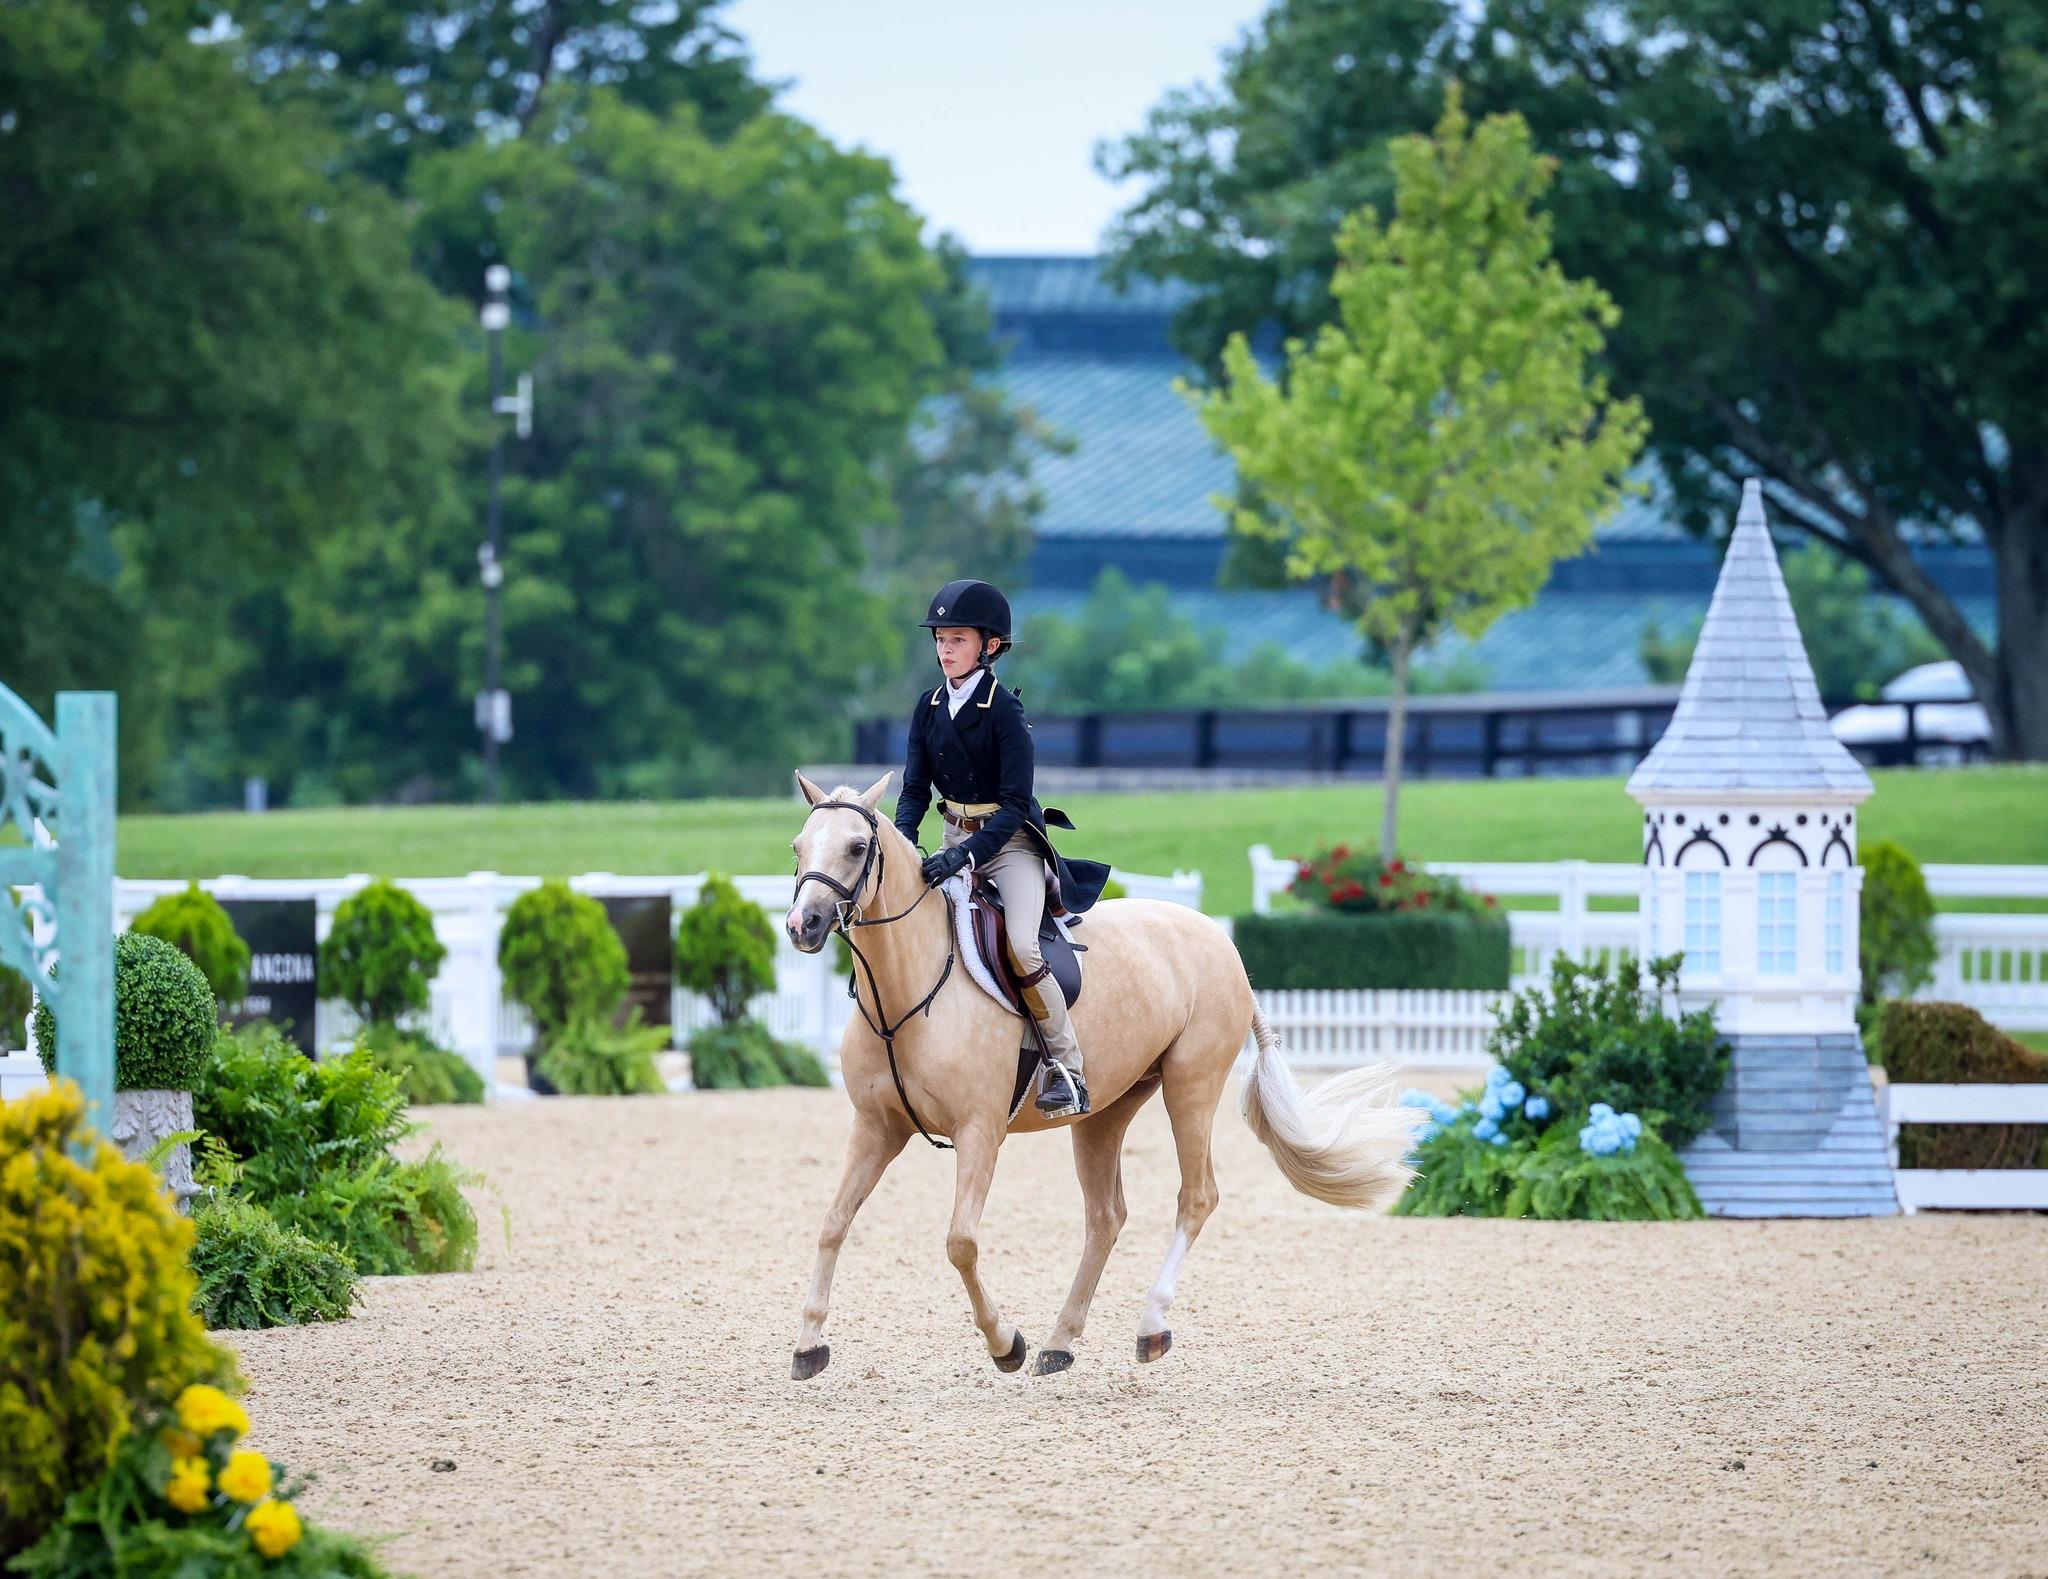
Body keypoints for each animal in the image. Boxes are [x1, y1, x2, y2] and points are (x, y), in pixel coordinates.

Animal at [782, 772, 1418, 1379]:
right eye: (798, 846)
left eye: (856, 846)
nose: (802, 925)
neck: (906, 992)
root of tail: (1222, 943)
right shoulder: (877, 1128)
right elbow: (832, 1223)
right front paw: (809, 1344)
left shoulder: (979, 1132)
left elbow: (961, 1242)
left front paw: (1005, 1343)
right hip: (1106, 1111)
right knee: (1106, 1217)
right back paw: (1060, 1343)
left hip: (1191, 1086)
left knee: (1196, 1196)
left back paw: (1149, 1327)